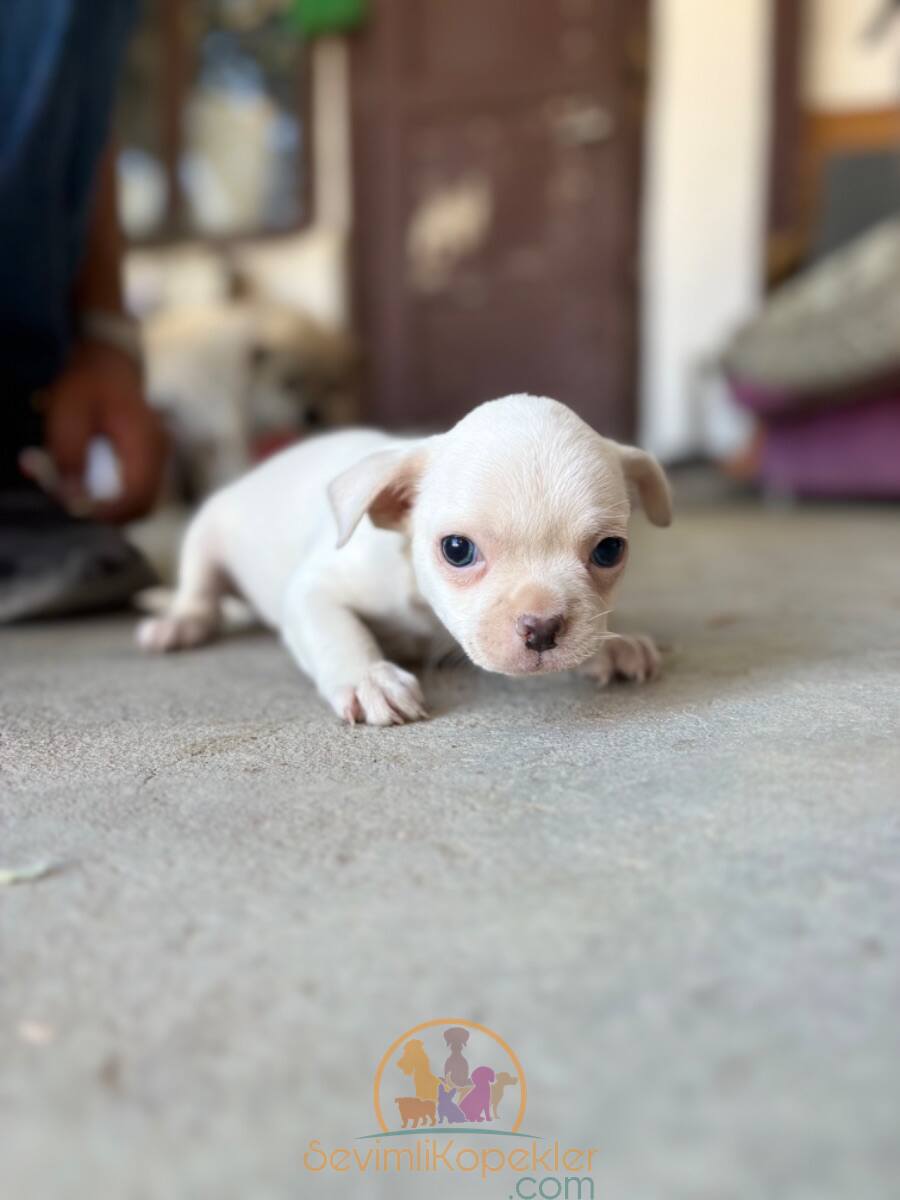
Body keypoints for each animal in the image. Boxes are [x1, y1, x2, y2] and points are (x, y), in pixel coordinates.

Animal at [137, 398, 672, 724]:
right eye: (457, 550)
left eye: (609, 550)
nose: (542, 627)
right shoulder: (314, 592)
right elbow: (338, 631)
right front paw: (367, 679)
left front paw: (613, 644)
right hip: (207, 536)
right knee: (198, 592)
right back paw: (180, 622)